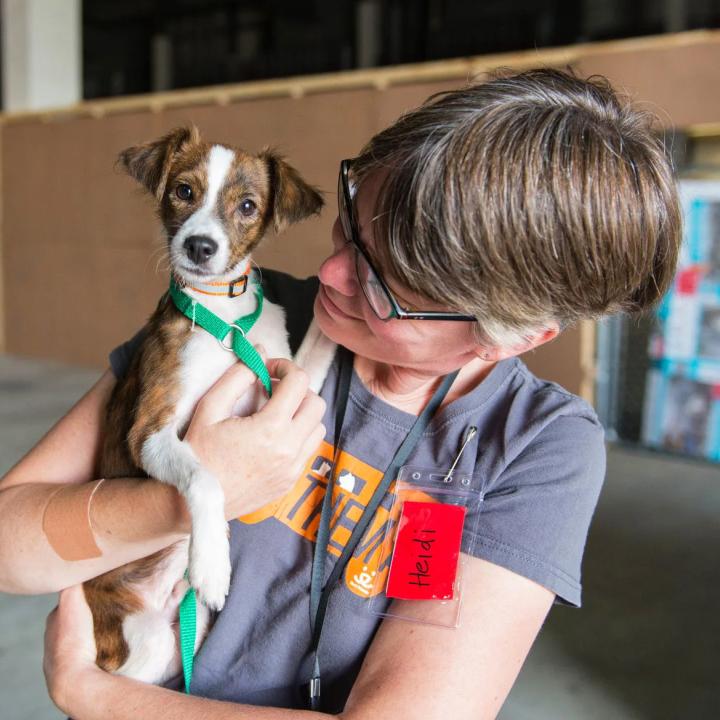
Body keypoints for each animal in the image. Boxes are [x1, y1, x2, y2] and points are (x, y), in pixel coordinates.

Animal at [83, 128, 334, 688]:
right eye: (182, 191)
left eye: (248, 206)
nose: (200, 246)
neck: (225, 315)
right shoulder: (150, 433)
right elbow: (205, 476)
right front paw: (213, 563)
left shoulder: (289, 384)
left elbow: (320, 343)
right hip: (144, 647)